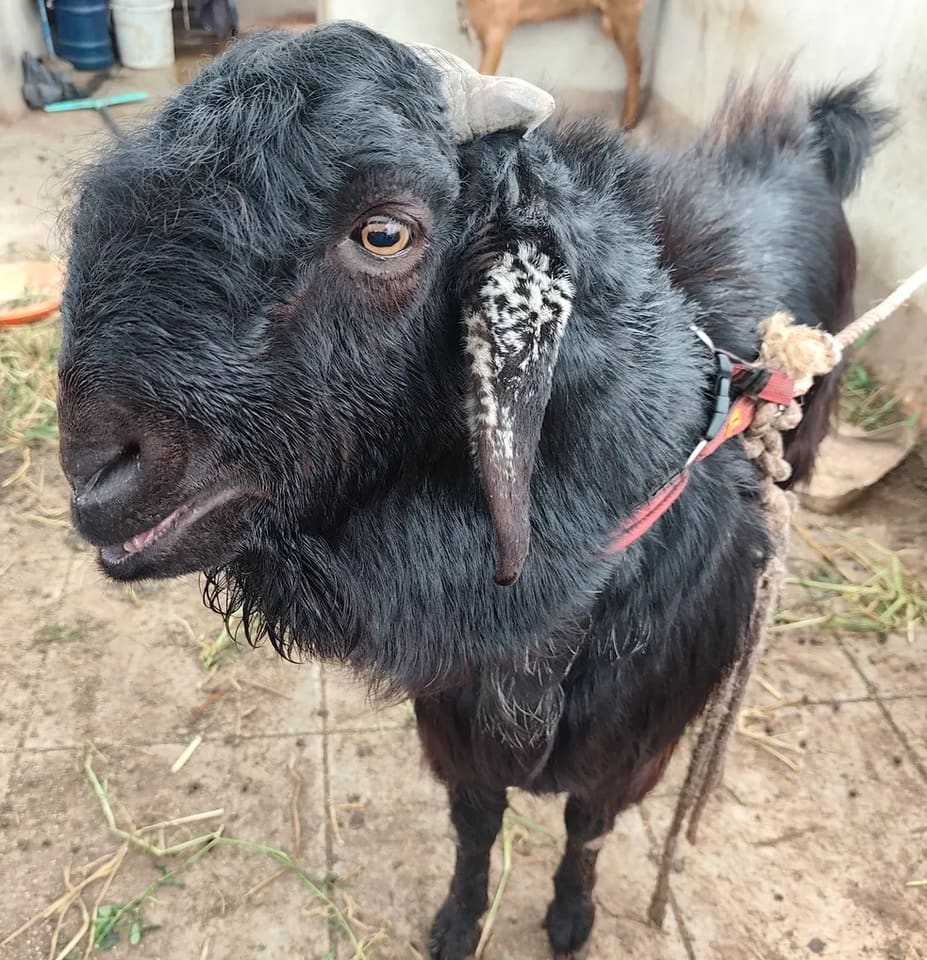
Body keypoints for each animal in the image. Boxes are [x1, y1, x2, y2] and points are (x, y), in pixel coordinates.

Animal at [57, 23, 891, 959]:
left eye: (385, 231)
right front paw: (459, 920)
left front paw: (569, 918)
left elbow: (584, 834)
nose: (97, 469)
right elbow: (474, 828)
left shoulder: (632, 753)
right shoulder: (452, 729)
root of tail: (804, 145)